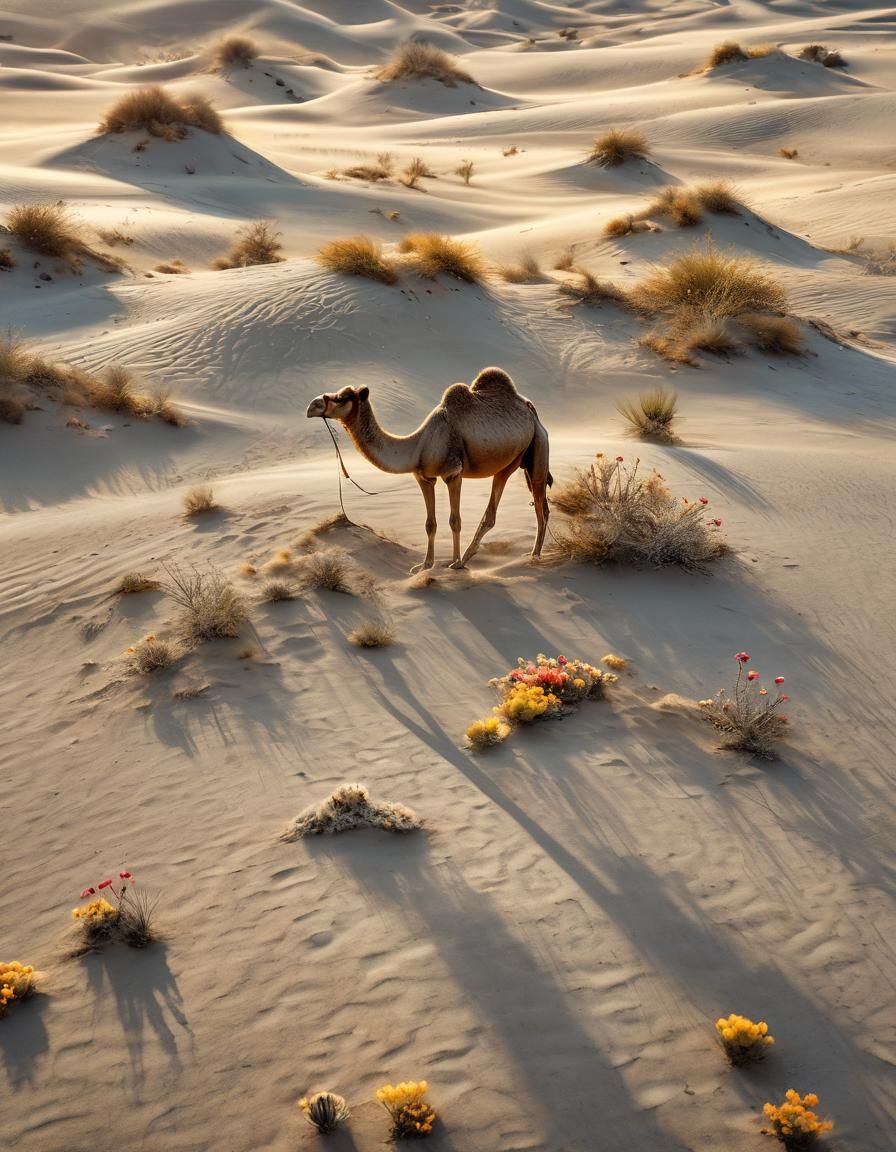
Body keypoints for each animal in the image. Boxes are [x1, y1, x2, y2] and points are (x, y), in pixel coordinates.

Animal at [306, 367, 552, 572]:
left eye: (341, 398)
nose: (311, 406)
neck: (418, 445)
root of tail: (531, 410)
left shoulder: (453, 473)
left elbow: (455, 520)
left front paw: (454, 563)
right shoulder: (423, 477)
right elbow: (430, 524)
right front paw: (425, 565)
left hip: (537, 448)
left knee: (539, 506)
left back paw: (530, 555)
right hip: (515, 461)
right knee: (512, 508)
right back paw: (478, 555)